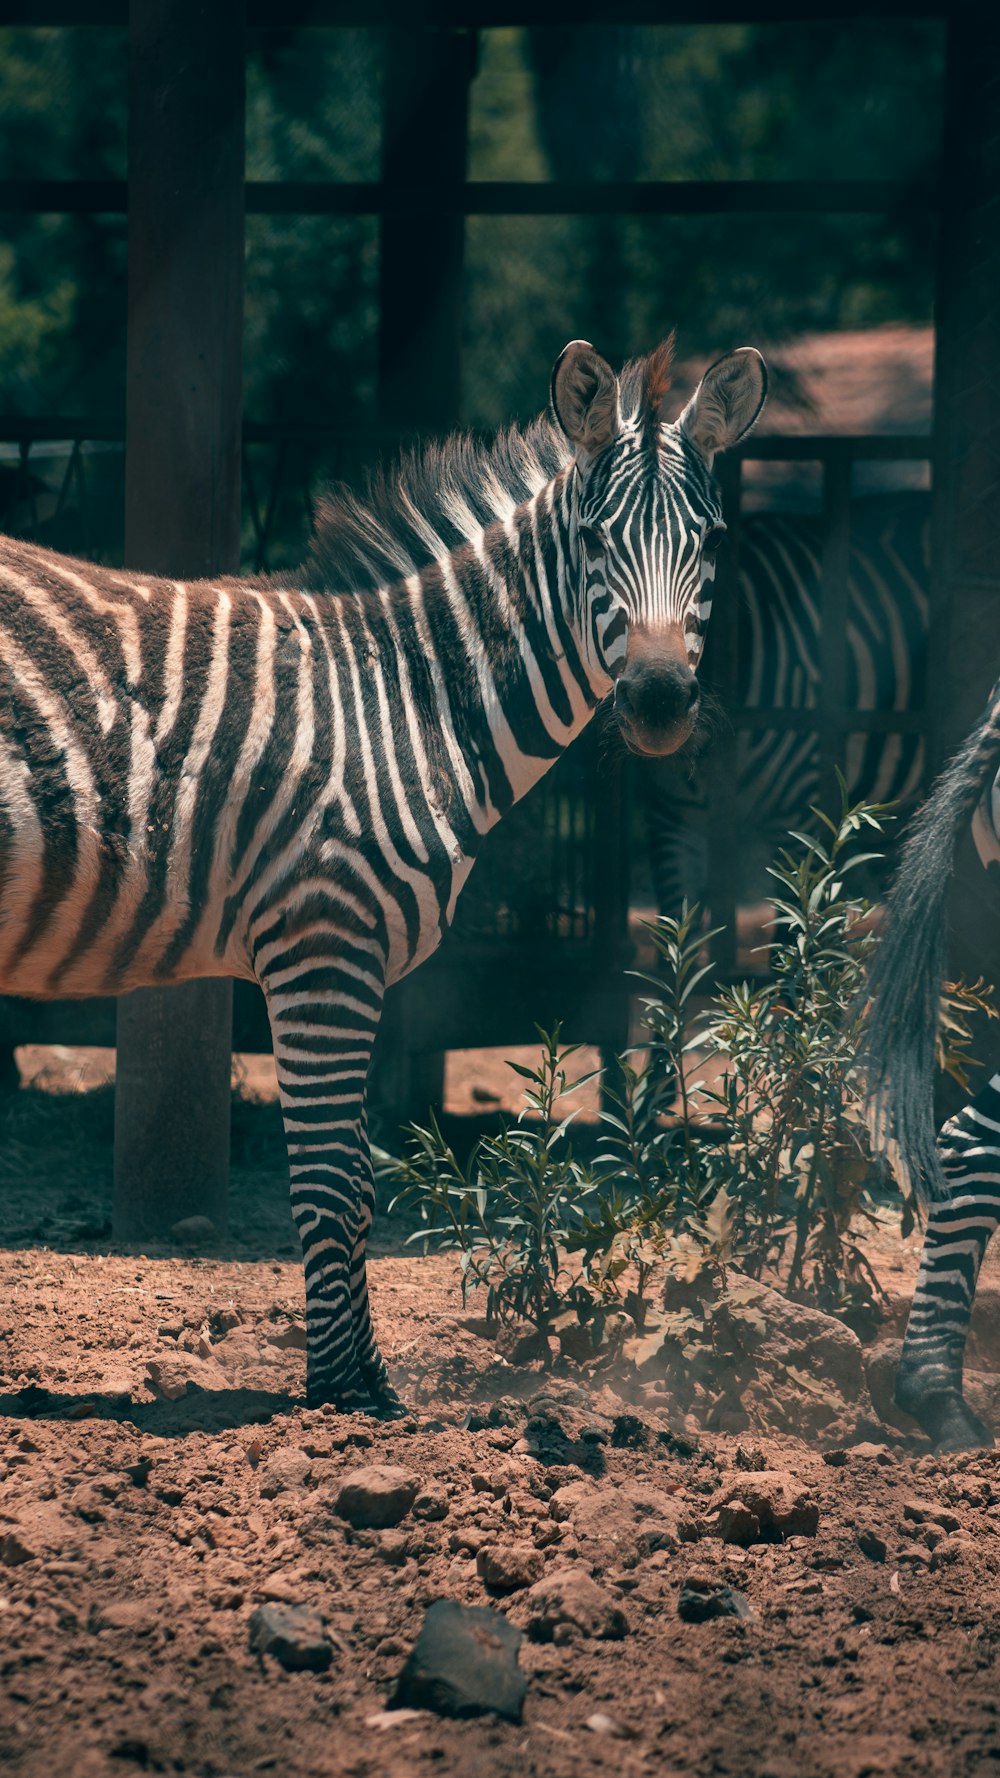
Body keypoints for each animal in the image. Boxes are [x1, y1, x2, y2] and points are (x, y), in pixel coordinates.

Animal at [0, 336, 765, 1415]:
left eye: (711, 538)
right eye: (590, 538)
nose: (658, 700)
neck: (407, 701)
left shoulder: (350, 963)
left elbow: (362, 1185)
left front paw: (367, 1376)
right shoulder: (321, 944)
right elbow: (330, 1186)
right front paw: (340, 1394)